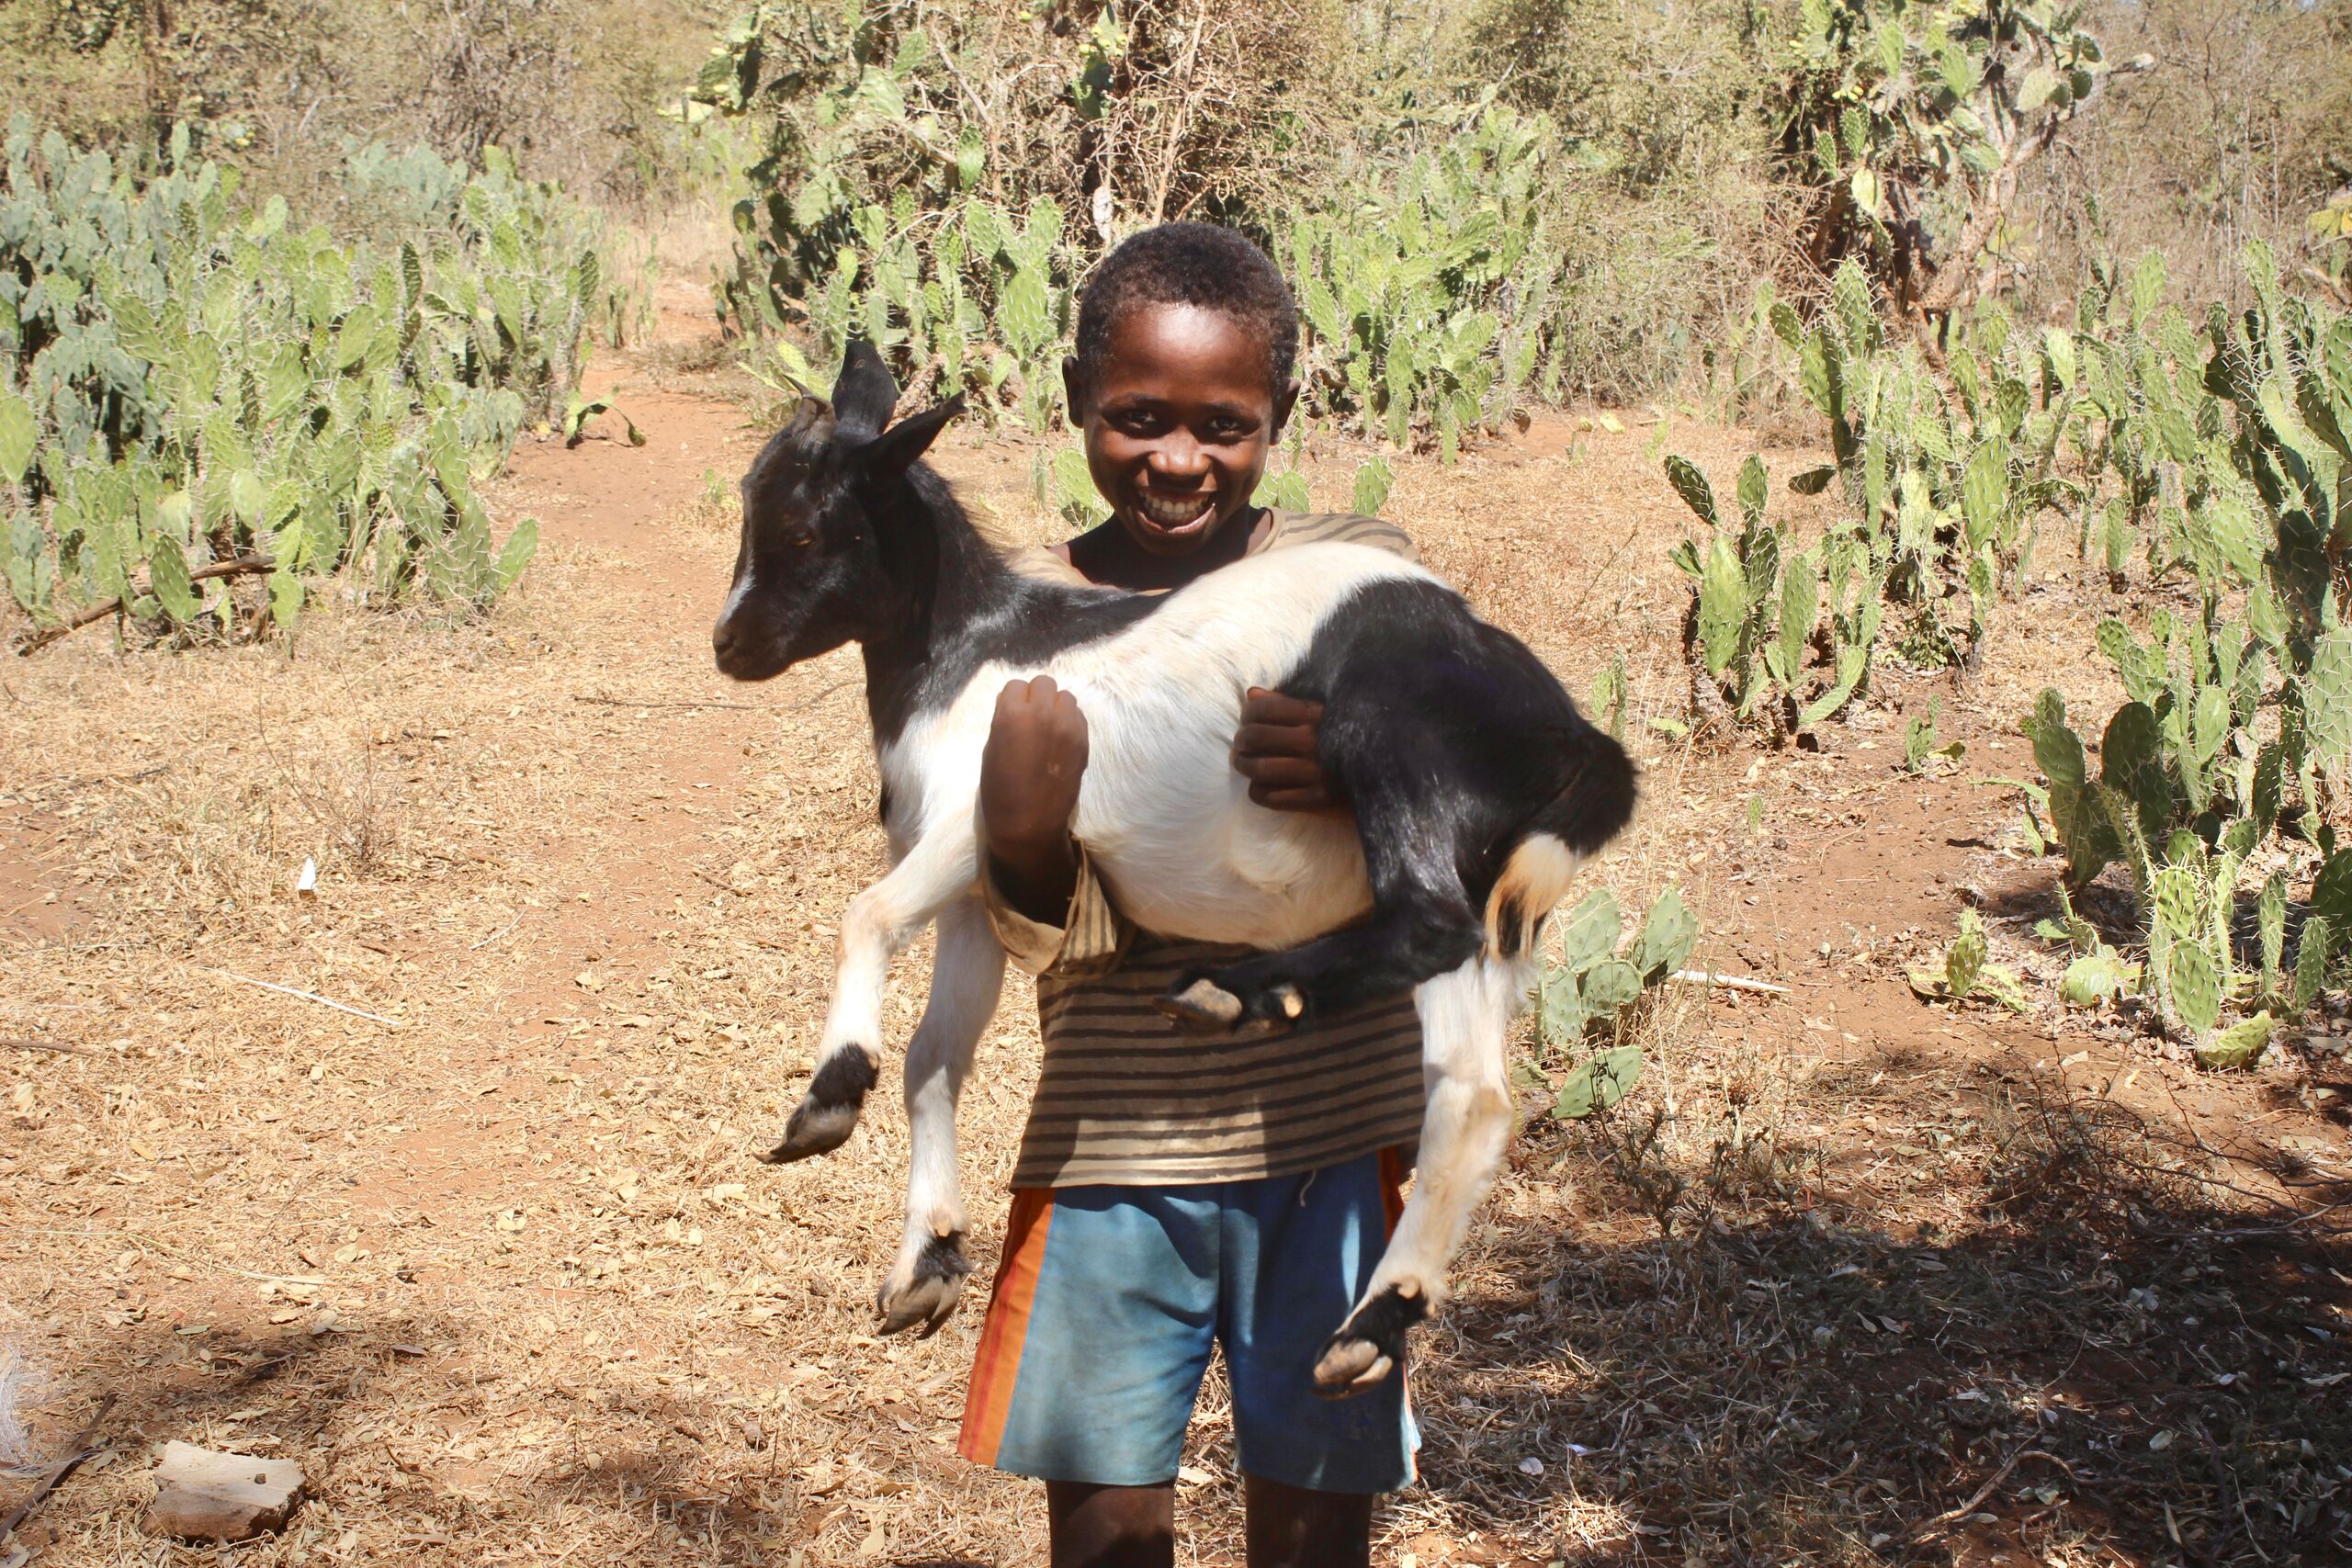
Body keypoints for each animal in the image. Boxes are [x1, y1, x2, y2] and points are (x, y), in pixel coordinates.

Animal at [711, 344, 1636, 1394]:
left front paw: (826, 1100)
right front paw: (928, 1257)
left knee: (1426, 922)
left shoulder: (967, 824)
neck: (970, 650)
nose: (730, 644)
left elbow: (862, 916)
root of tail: (1571, 734)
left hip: (1393, 746)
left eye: (803, 526)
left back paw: (1239, 991)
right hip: (1491, 895)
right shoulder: (979, 893)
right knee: (1471, 1097)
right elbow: (932, 1056)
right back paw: (1375, 1318)